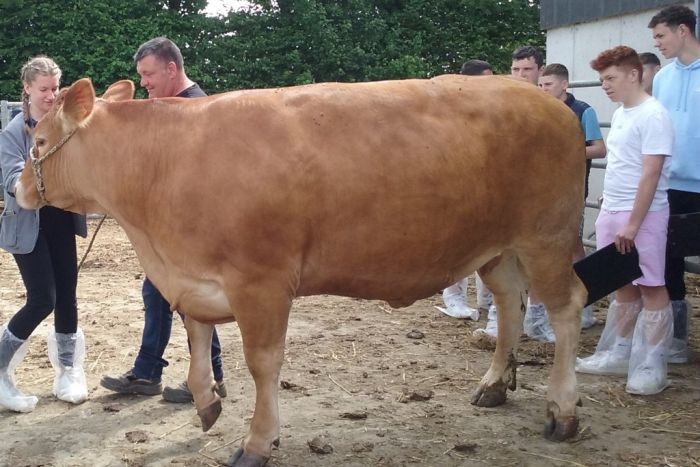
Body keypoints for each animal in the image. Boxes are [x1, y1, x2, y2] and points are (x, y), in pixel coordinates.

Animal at [15, 75, 587, 466]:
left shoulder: (261, 281)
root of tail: (541, 98)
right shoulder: (190, 277)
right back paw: (494, 386)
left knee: (567, 308)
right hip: (498, 250)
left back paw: (563, 411)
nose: (14, 189)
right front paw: (206, 402)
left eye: (39, 142)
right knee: (511, 303)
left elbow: (263, 364)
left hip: (548, 237)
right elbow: (196, 340)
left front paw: (258, 441)